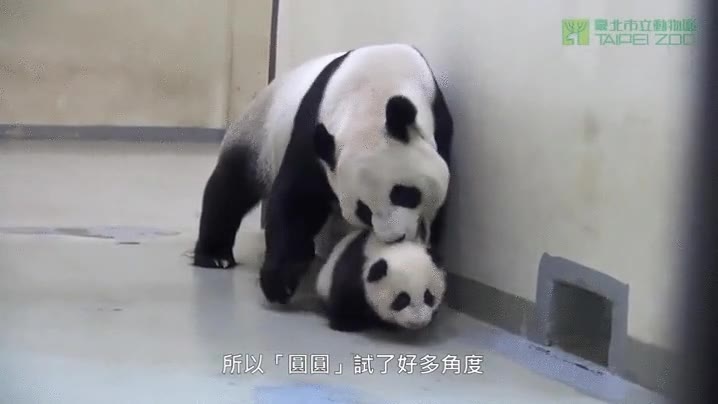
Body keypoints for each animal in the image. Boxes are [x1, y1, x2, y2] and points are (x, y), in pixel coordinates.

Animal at [192, 43, 454, 305]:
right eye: (363, 210)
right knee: (230, 189)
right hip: (257, 136)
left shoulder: (440, 125)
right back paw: (214, 256)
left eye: (403, 194)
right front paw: (279, 281)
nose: (394, 238)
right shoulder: (315, 137)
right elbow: (297, 198)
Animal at [315, 229, 447, 332]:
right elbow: (346, 294)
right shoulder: (356, 267)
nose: (418, 322)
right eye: (401, 299)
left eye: (428, 296)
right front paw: (346, 324)